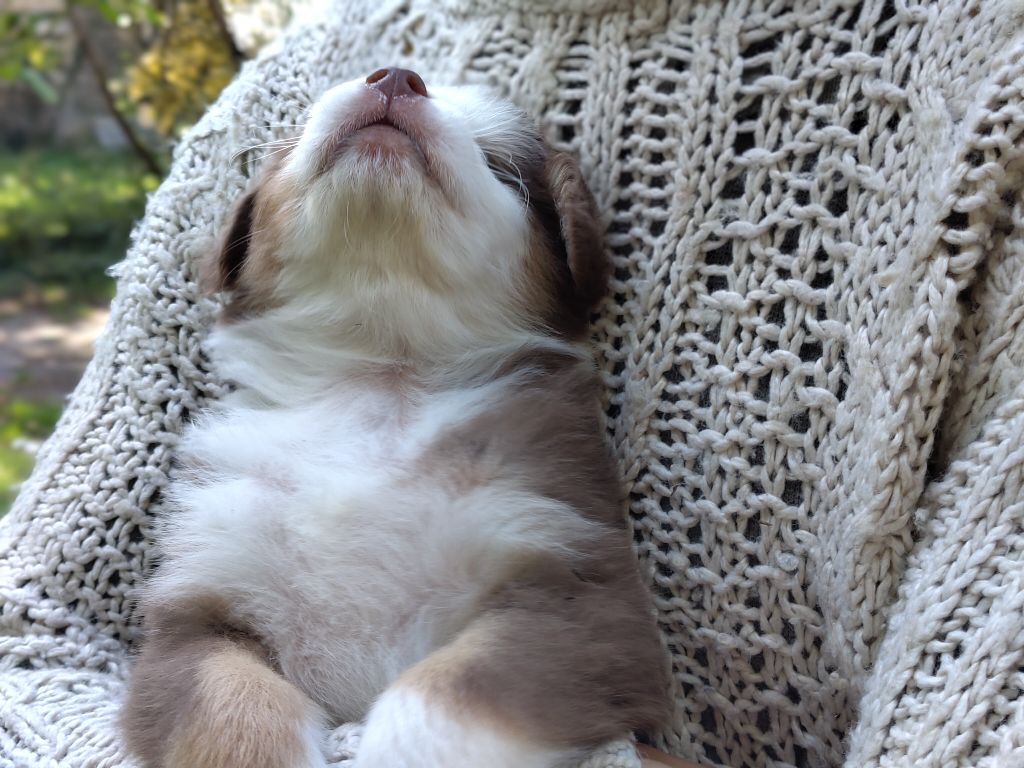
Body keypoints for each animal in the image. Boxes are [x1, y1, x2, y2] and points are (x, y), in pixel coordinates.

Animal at [122, 67, 669, 768]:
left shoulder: (578, 595)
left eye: (498, 161)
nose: (397, 77)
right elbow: (235, 714)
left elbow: (441, 702)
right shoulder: (196, 617)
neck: (377, 381)